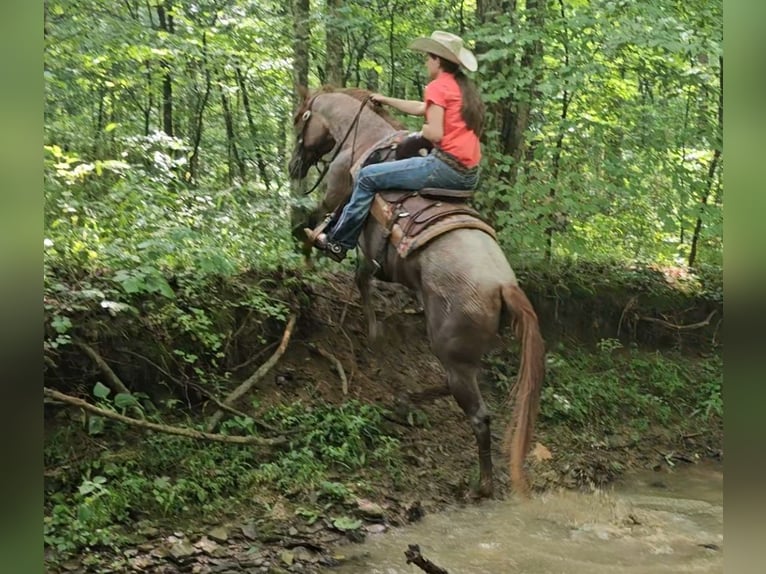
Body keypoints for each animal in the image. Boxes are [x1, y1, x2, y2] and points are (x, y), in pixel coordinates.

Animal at [288, 85, 544, 500]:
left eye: (301, 118)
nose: (294, 166)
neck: (365, 140)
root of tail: (504, 285)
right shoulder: (372, 253)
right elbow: (362, 279)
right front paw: (374, 332)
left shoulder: (339, 195)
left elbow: (314, 225)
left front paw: (310, 256)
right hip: (462, 354)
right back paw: (406, 400)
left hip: (452, 353)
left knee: (479, 415)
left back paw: (483, 485)